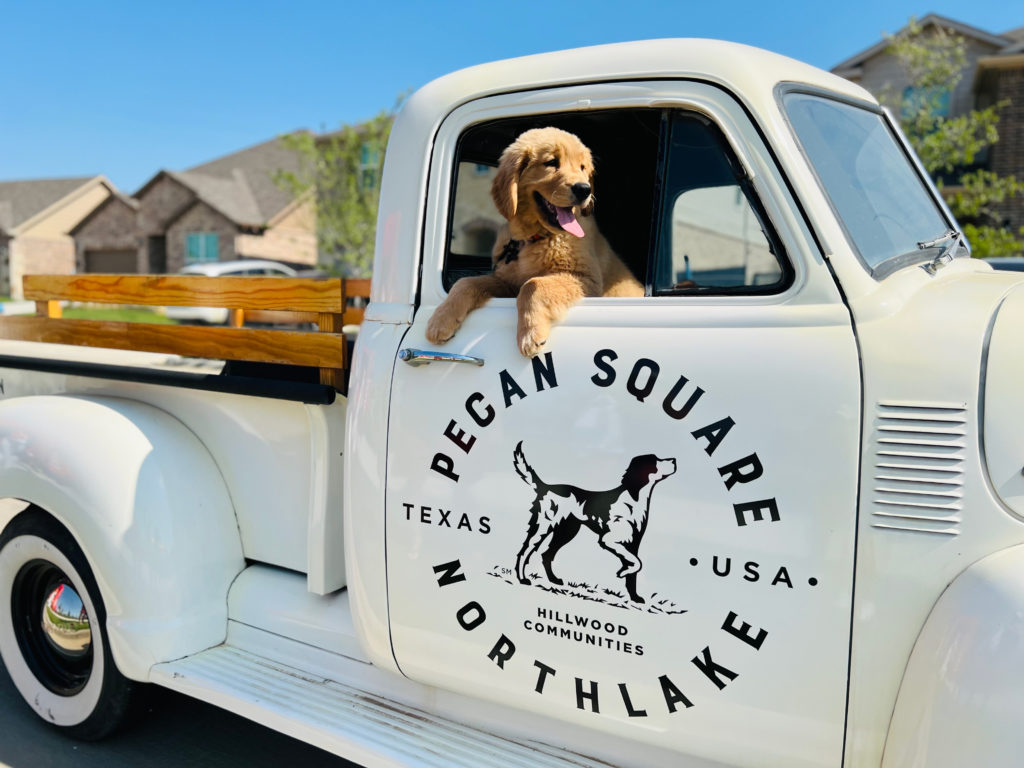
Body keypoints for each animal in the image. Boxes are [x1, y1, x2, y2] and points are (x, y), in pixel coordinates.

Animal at [423, 126, 638, 358]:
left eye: (582, 167)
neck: (533, 238)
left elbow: (533, 284)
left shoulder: (585, 279)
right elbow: (467, 282)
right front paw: (441, 320)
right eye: (552, 162)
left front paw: (530, 334)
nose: (584, 189)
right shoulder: (506, 279)